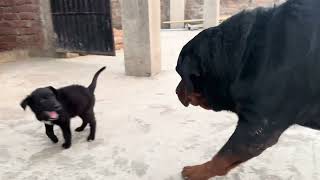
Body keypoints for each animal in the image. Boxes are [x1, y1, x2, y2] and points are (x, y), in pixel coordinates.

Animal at [175, 0, 320, 179]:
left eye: (180, 73)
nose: (176, 91)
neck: (241, 55)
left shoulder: (258, 126)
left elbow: (223, 155)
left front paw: (197, 171)